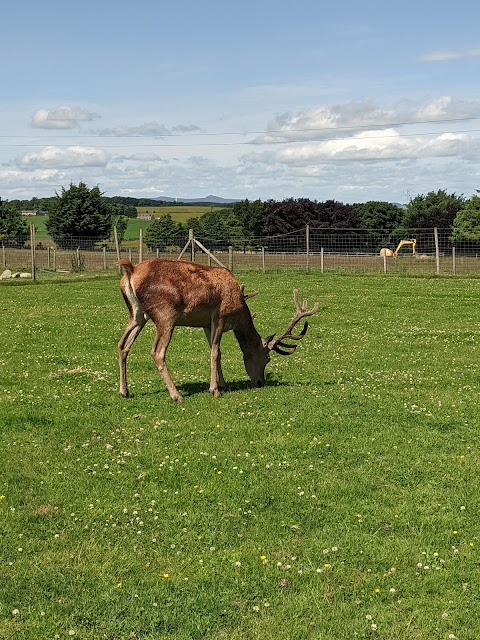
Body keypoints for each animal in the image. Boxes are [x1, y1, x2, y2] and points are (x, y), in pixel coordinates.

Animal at [116, 258, 318, 402]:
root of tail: (131, 272)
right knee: (157, 352)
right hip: (165, 314)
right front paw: (214, 390)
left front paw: (222, 383)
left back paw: (124, 391)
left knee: (122, 344)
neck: (239, 311)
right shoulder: (219, 316)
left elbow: (217, 352)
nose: (260, 383)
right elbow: (214, 352)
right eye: (267, 358)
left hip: (136, 315)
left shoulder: (206, 324)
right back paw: (176, 395)